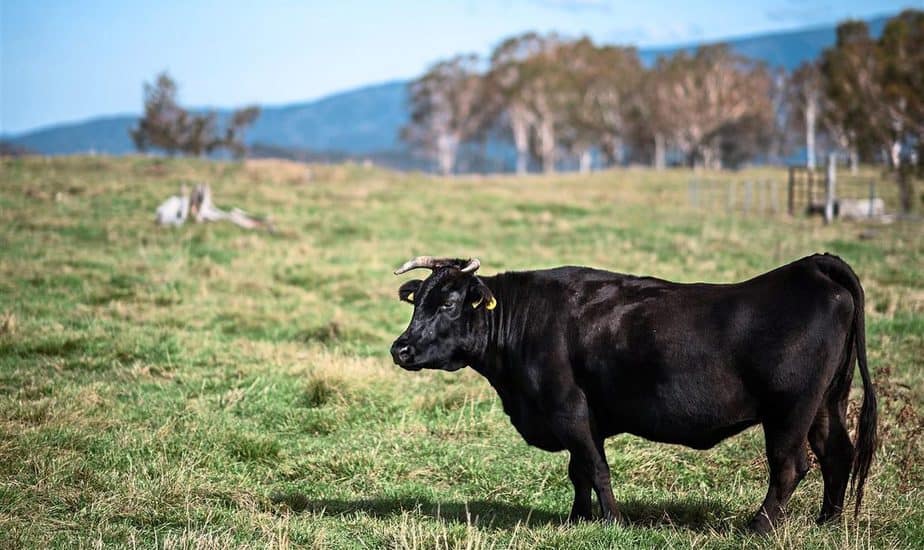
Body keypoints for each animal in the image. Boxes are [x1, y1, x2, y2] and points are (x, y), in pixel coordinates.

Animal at [386, 256, 876, 536]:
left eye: (449, 304)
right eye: (417, 302)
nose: (400, 348)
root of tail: (812, 266)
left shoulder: (568, 410)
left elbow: (596, 469)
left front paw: (613, 522)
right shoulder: (585, 418)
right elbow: (579, 471)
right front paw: (576, 520)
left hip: (790, 411)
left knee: (790, 466)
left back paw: (757, 528)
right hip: (828, 402)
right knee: (836, 454)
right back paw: (828, 523)